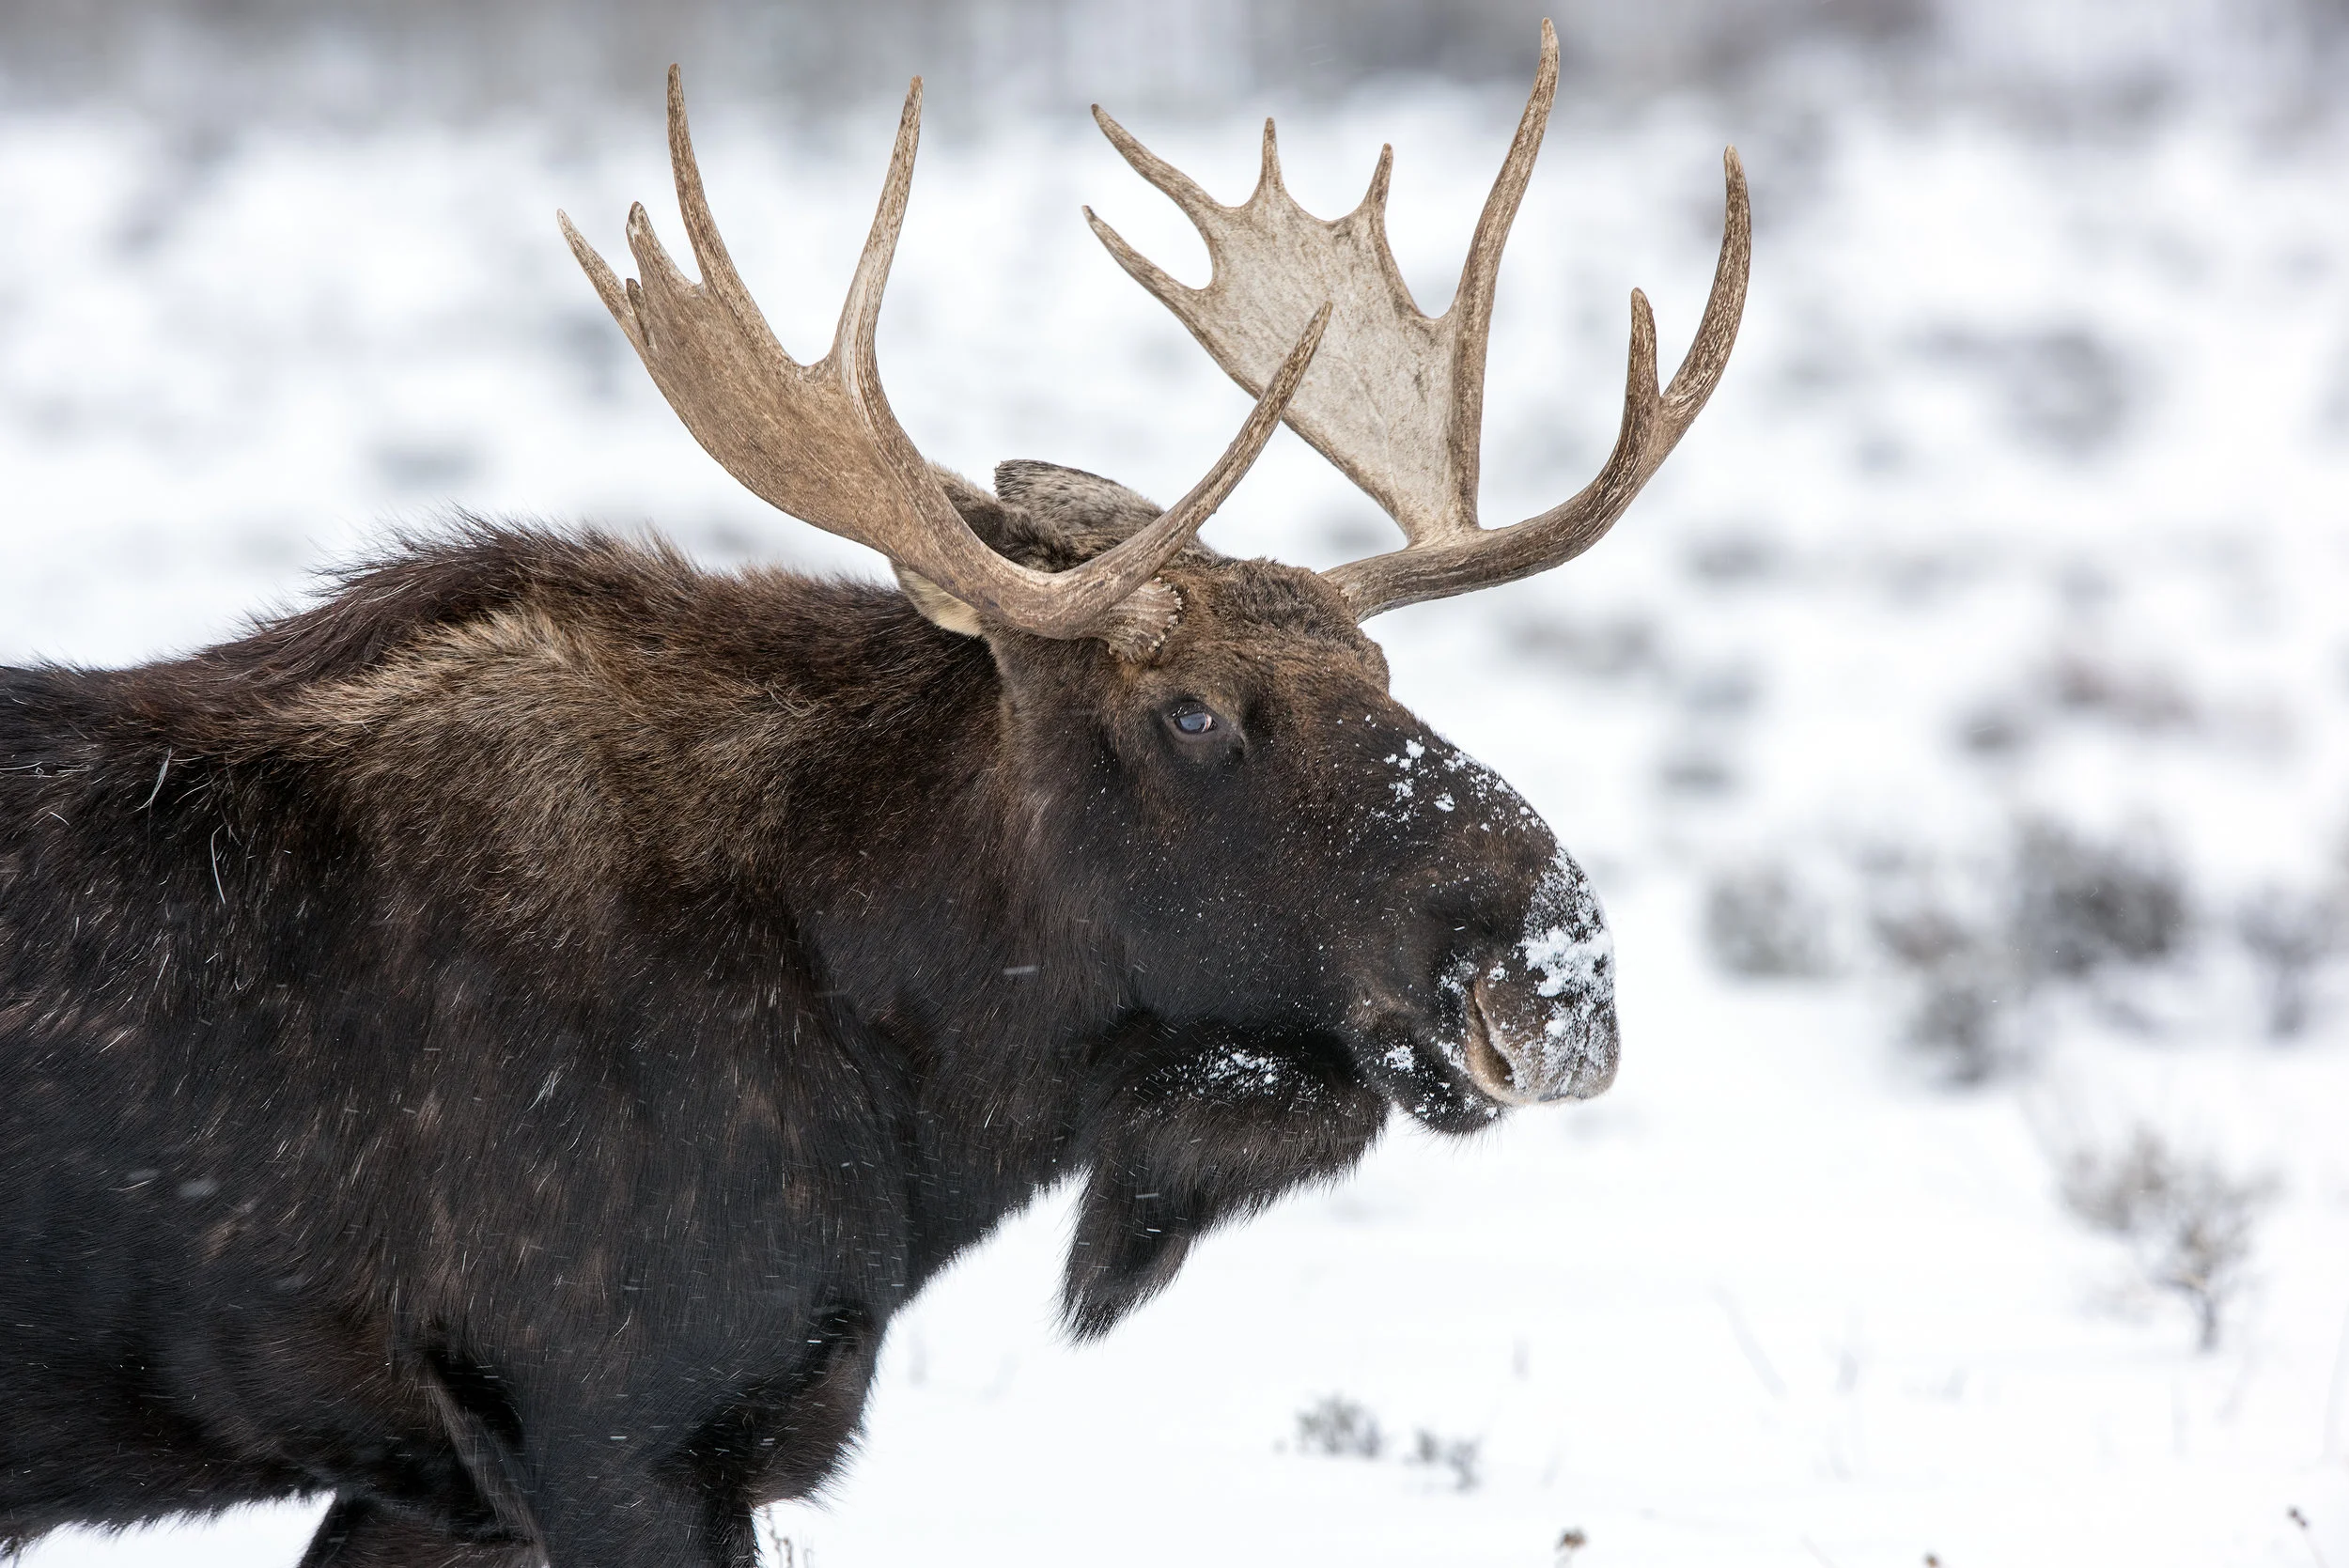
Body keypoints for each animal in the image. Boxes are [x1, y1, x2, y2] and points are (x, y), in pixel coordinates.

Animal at [0, 22, 1745, 1568]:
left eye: (1382, 675)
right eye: (1189, 708)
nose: (1560, 969)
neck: (916, 1072)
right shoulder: (619, 1433)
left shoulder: (448, 1488)